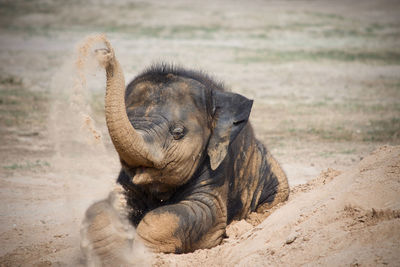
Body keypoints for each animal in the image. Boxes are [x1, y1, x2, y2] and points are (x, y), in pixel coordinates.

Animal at [82, 38, 288, 260]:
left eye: (178, 132)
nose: (103, 50)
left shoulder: (217, 166)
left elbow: (198, 212)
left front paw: (139, 253)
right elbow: (101, 209)